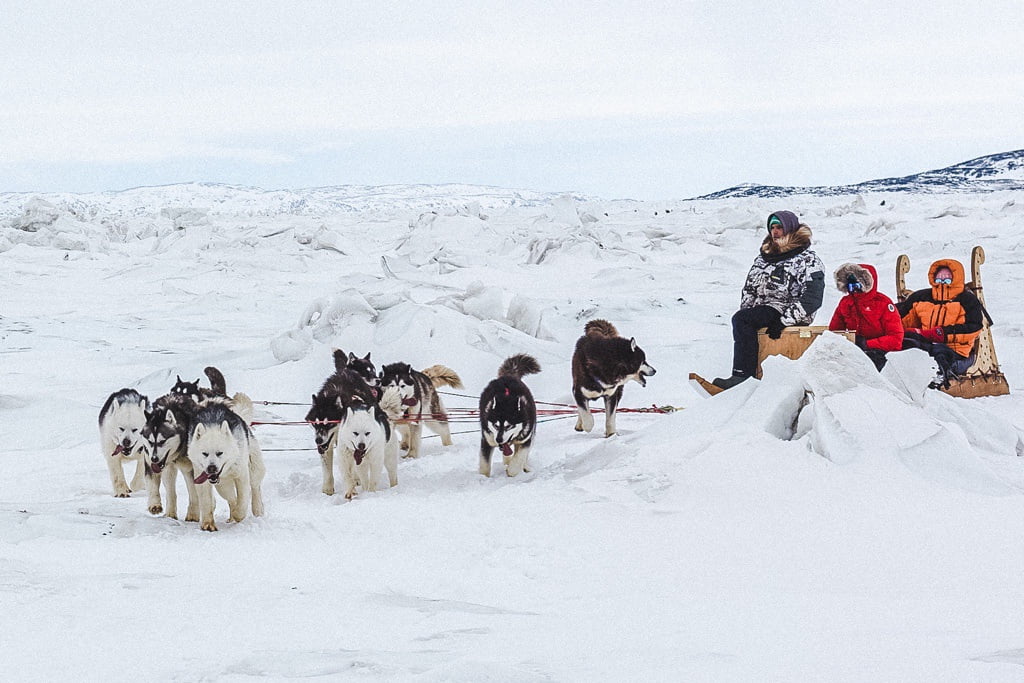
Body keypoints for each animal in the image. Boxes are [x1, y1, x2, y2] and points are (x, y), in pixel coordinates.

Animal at [188, 403, 266, 532]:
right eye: (205, 453)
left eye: (220, 453)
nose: (211, 468)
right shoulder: (201, 479)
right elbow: (206, 502)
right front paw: (208, 524)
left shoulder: (242, 476)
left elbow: (243, 501)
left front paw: (239, 515)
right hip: (222, 486)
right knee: (232, 498)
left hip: (254, 470)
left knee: (255, 488)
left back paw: (257, 509)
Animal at [309, 350, 382, 493]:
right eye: (315, 424)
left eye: (330, 423)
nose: (318, 440)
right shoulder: (328, 445)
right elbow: (327, 469)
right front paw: (327, 489)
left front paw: (355, 480)